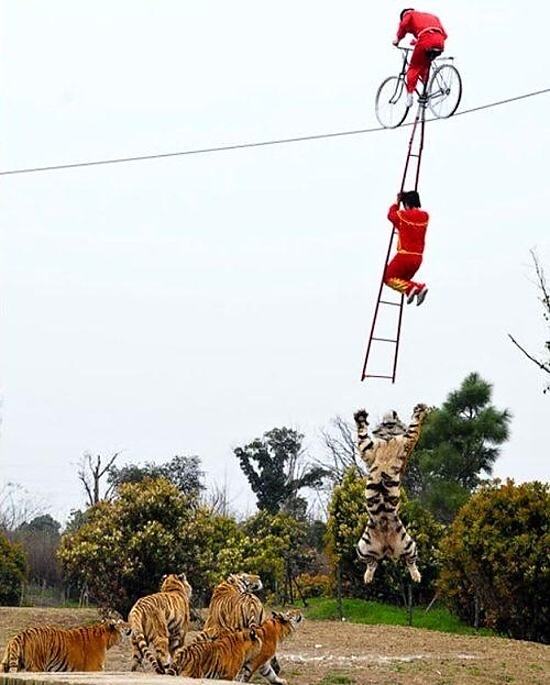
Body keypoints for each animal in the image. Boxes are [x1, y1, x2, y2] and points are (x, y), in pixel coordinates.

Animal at [0, 612, 129, 672]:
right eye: (122, 623)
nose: (130, 626)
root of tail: (20, 635)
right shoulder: (94, 668)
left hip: (7, 663)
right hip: (36, 667)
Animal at [354, 404, 432, 584]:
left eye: (388, 424)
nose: (375, 431)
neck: (388, 440)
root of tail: (387, 549)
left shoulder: (407, 440)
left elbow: (413, 427)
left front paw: (420, 410)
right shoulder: (369, 450)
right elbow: (362, 436)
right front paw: (360, 416)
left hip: (409, 544)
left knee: (410, 561)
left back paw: (416, 577)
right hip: (362, 547)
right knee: (372, 563)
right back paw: (367, 578)